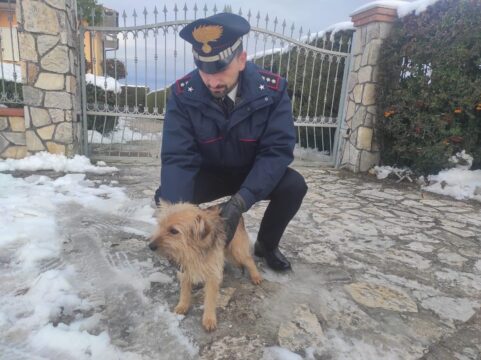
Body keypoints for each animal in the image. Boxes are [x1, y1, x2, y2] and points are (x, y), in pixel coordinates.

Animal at [150, 201, 262, 330]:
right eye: (160, 225)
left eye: (174, 231)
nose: (150, 246)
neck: (193, 250)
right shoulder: (184, 269)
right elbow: (184, 291)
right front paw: (183, 305)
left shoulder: (212, 275)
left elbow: (210, 299)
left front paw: (209, 318)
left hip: (237, 249)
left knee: (249, 260)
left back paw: (256, 276)